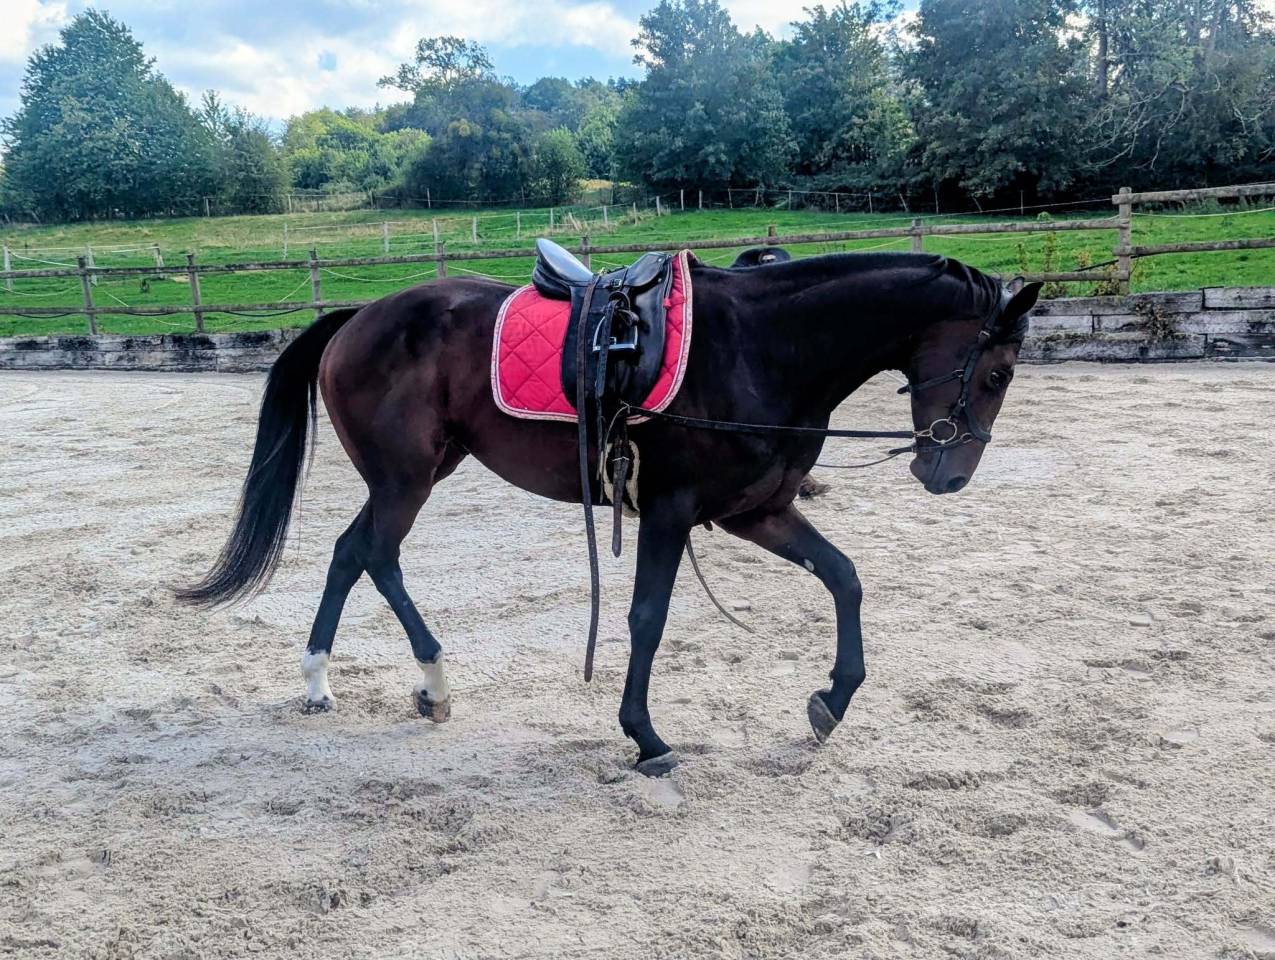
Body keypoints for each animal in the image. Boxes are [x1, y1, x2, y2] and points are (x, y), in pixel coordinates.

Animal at [179, 250, 1040, 776]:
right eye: (996, 372)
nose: (947, 474)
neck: (762, 346)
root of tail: (356, 317)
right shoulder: (669, 510)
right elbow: (647, 617)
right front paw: (645, 735)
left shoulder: (755, 511)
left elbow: (844, 577)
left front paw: (832, 698)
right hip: (404, 479)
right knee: (372, 554)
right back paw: (413, 678)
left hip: (417, 473)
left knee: (354, 554)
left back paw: (347, 681)